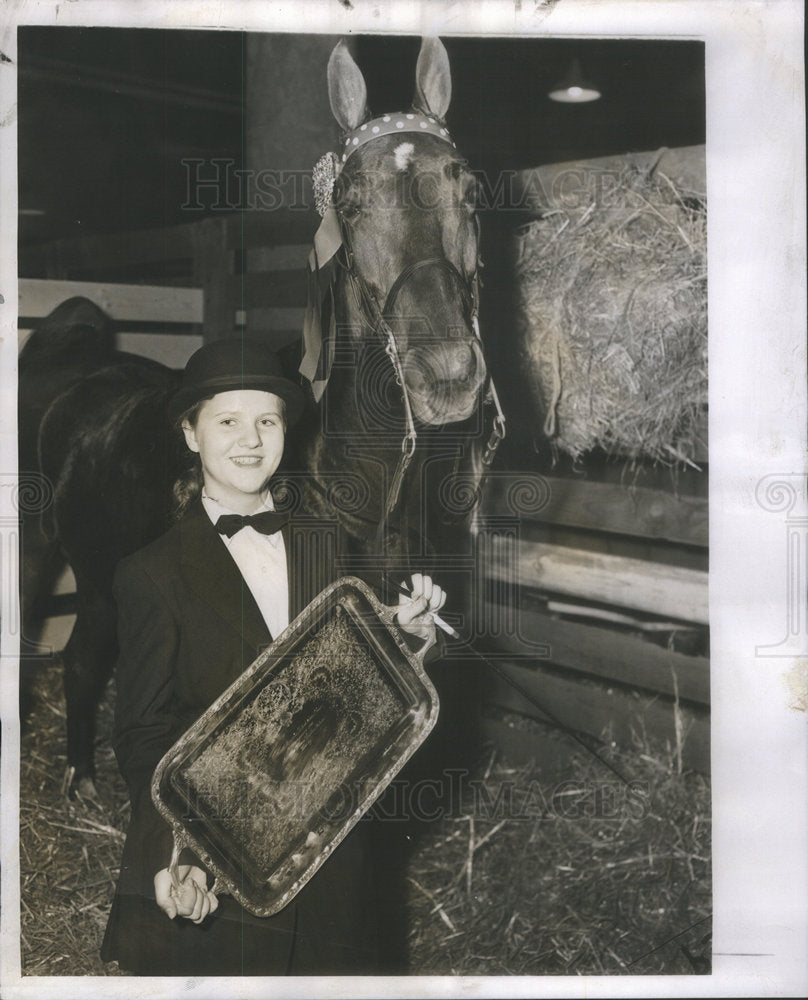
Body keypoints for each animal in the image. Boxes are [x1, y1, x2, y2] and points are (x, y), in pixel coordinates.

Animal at [20, 37, 498, 796]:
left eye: (469, 189)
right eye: (349, 204)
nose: (447, 374)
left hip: (99, 575)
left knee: (83, 656)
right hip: (41, 553)